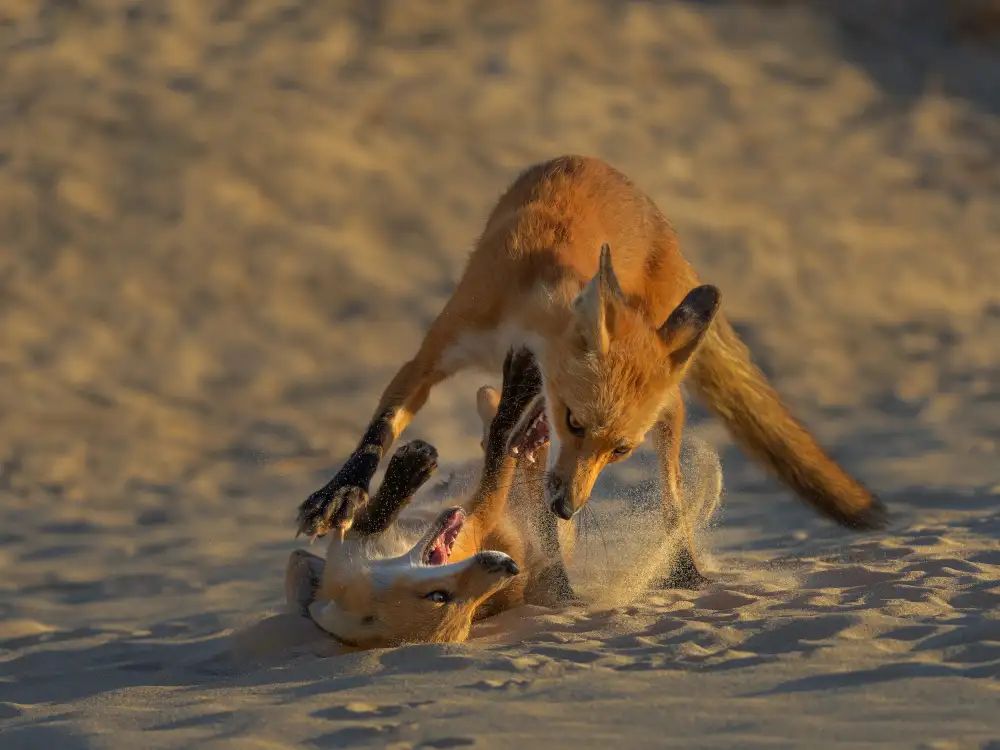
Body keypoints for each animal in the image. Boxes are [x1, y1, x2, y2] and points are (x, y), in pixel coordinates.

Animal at [286, 348, 723, 648]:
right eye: (440, 598)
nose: (507, 567)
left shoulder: (466, 519)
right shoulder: (471, 516)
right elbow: (496, 448)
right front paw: (407, 470)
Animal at [297, 155, 886, 588]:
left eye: (620, 451)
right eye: (574, 422)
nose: (565, 507)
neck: (530, 299)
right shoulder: (435, 353)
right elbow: (379, 432)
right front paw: (338, 495)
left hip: (667, 392)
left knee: (671, 469)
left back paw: (679, 563)